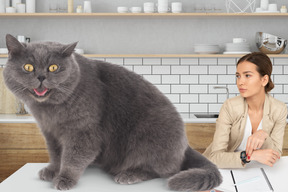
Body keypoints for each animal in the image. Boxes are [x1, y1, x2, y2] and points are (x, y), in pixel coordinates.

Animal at [3, 34, 222, 190]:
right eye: (28, 66)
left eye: (53, 67)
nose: (41, 77)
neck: (49, 111)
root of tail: (185, 145)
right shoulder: (50, 132)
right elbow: (56, 155)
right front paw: (52, 171)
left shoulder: (83, 132)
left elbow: (73, 157)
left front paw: (64, 179)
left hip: (148, 133)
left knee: (162, 169)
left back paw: (128, 175)